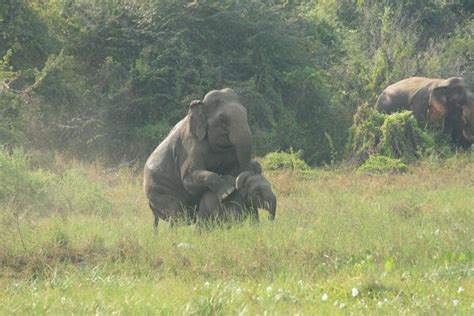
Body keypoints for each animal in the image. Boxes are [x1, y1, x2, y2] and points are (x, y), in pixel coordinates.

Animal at [143, 87, 254, 231]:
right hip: (159, 190)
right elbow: (188, 179)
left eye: (246, 113)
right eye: (222, 119)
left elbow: (233, 169)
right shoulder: (190, 145)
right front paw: (227, 192)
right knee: (176, 212)